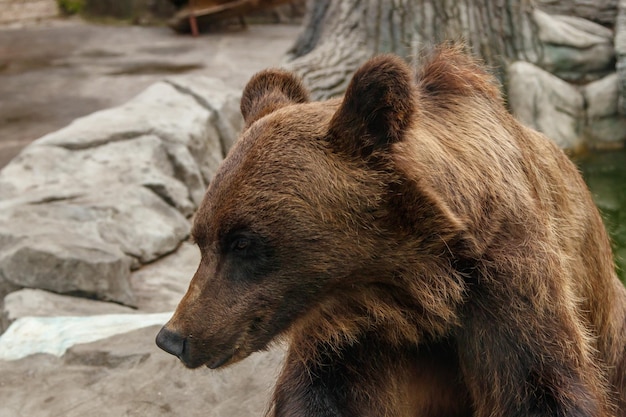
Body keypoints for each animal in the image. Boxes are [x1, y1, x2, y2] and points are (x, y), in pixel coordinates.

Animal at [155, 45, 624, 416]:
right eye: (200, 238)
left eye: (243, 242)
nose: (173, 337)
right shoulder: (349, 337)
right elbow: (320, 396)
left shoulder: (508, 283)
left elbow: (539, 387)